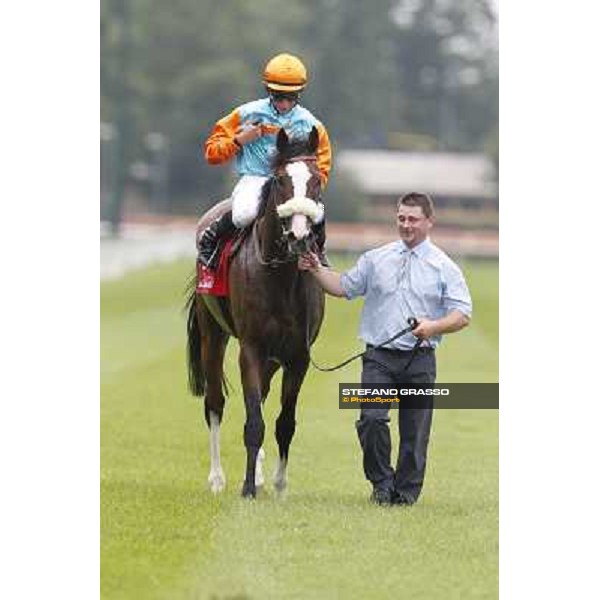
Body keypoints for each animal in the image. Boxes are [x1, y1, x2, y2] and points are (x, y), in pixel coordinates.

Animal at [188, 126, 328, 496]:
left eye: (316, 180)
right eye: (279, 179)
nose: (299, 236)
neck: (281, 276)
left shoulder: (298, 355)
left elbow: (284, 422)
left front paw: (278, 484)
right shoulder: (251, 348)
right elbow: (253, 422)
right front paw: (248, 488)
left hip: (274, 357)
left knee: (263, 398)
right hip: (212, 334)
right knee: (214, 403)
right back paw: (217, 478)